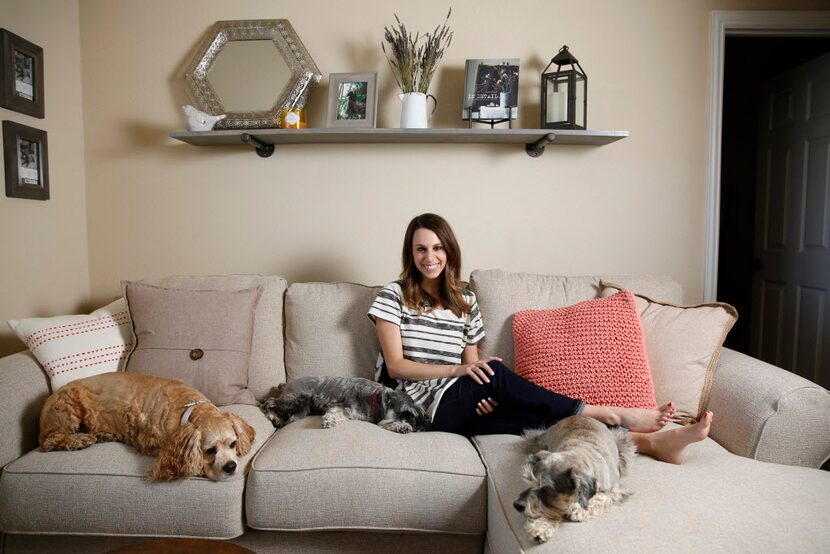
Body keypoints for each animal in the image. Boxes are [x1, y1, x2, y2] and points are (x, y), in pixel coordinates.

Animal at [260, 374, 428, 434]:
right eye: (406, 413)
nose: (420, 426)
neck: (373, 398)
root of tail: (287, 383)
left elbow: (386, 423)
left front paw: (401, 427)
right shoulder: (343, 407)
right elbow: (337, 412)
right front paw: (329, 421)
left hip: (302, 407)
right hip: (296, 398)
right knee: (269, 402)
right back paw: (275, 417)